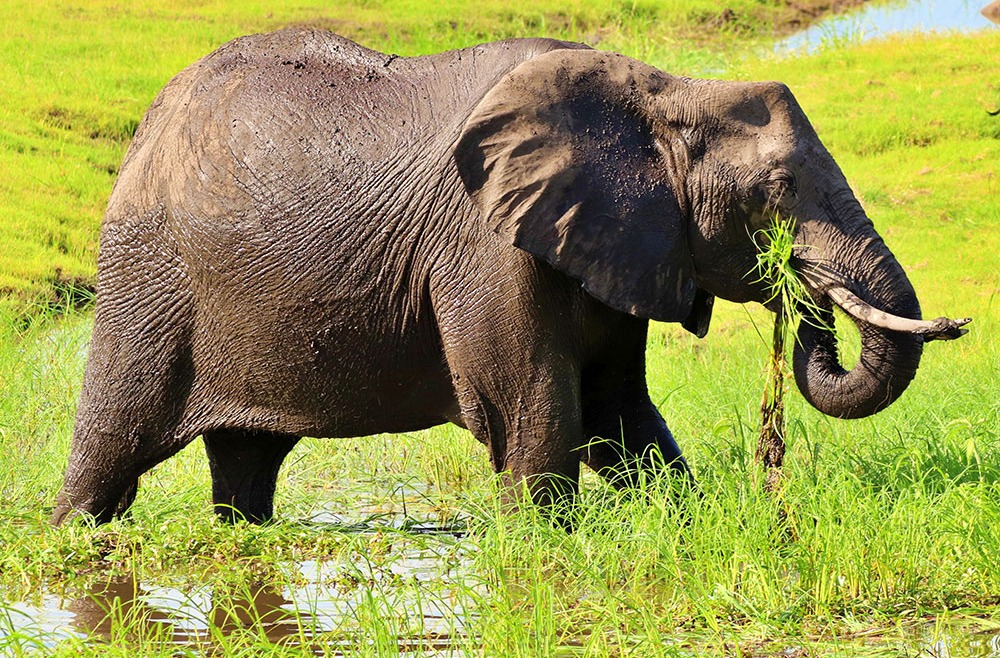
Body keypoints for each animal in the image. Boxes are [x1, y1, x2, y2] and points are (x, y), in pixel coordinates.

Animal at [48, 29, 968, 524]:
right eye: (776, 190)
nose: (801, 292)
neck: (662, 92)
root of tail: (149, 121)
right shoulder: (487, 249)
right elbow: (536, 413)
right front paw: (543, 546)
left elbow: (620, 414)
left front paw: (687, 524)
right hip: (151, 273)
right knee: (113, 445)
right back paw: (72, 541)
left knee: (246, 463)